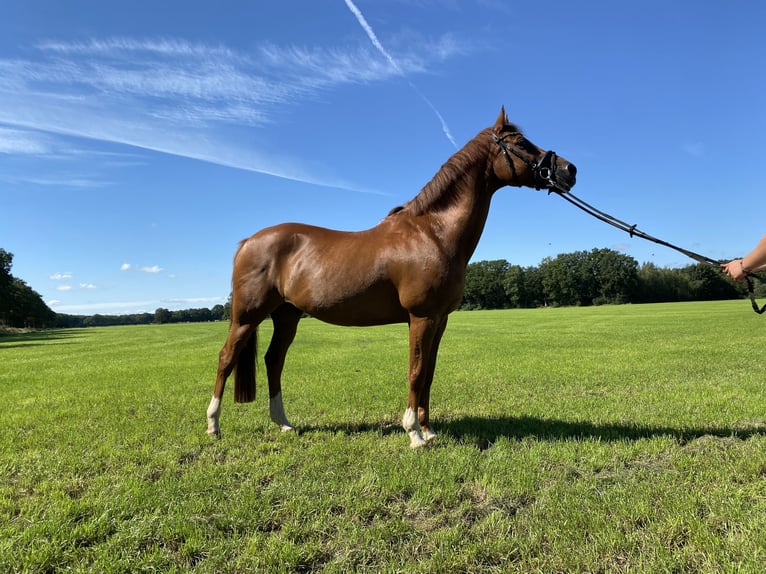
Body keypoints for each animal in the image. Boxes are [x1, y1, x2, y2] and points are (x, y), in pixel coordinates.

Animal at [207, 108, 580, 450]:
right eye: (521, 143)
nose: (569, 170)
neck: (432, 233)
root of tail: (249, 241)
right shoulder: (421, 317)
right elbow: (415, 371)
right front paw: (414, 434)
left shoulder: (440, 320)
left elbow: (429, 373)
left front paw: (429, 431)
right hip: (247, 315)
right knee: (226, 358)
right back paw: (213, 426)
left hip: (287, 315)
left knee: (274, 361)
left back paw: (284, 423)